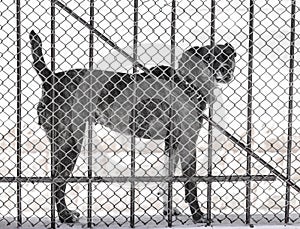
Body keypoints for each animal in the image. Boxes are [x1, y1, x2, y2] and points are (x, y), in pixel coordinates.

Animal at [30, 30, 237, 224]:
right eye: (208, 57)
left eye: (227, 56)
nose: (226, 69)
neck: (189, 81)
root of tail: (50, 78)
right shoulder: (187, 142)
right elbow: (191, 182)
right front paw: (198, 215)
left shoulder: (172, 143)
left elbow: (167, 178)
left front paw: (169, 210)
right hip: (70, 143)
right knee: (58, 181)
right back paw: (65, 216)